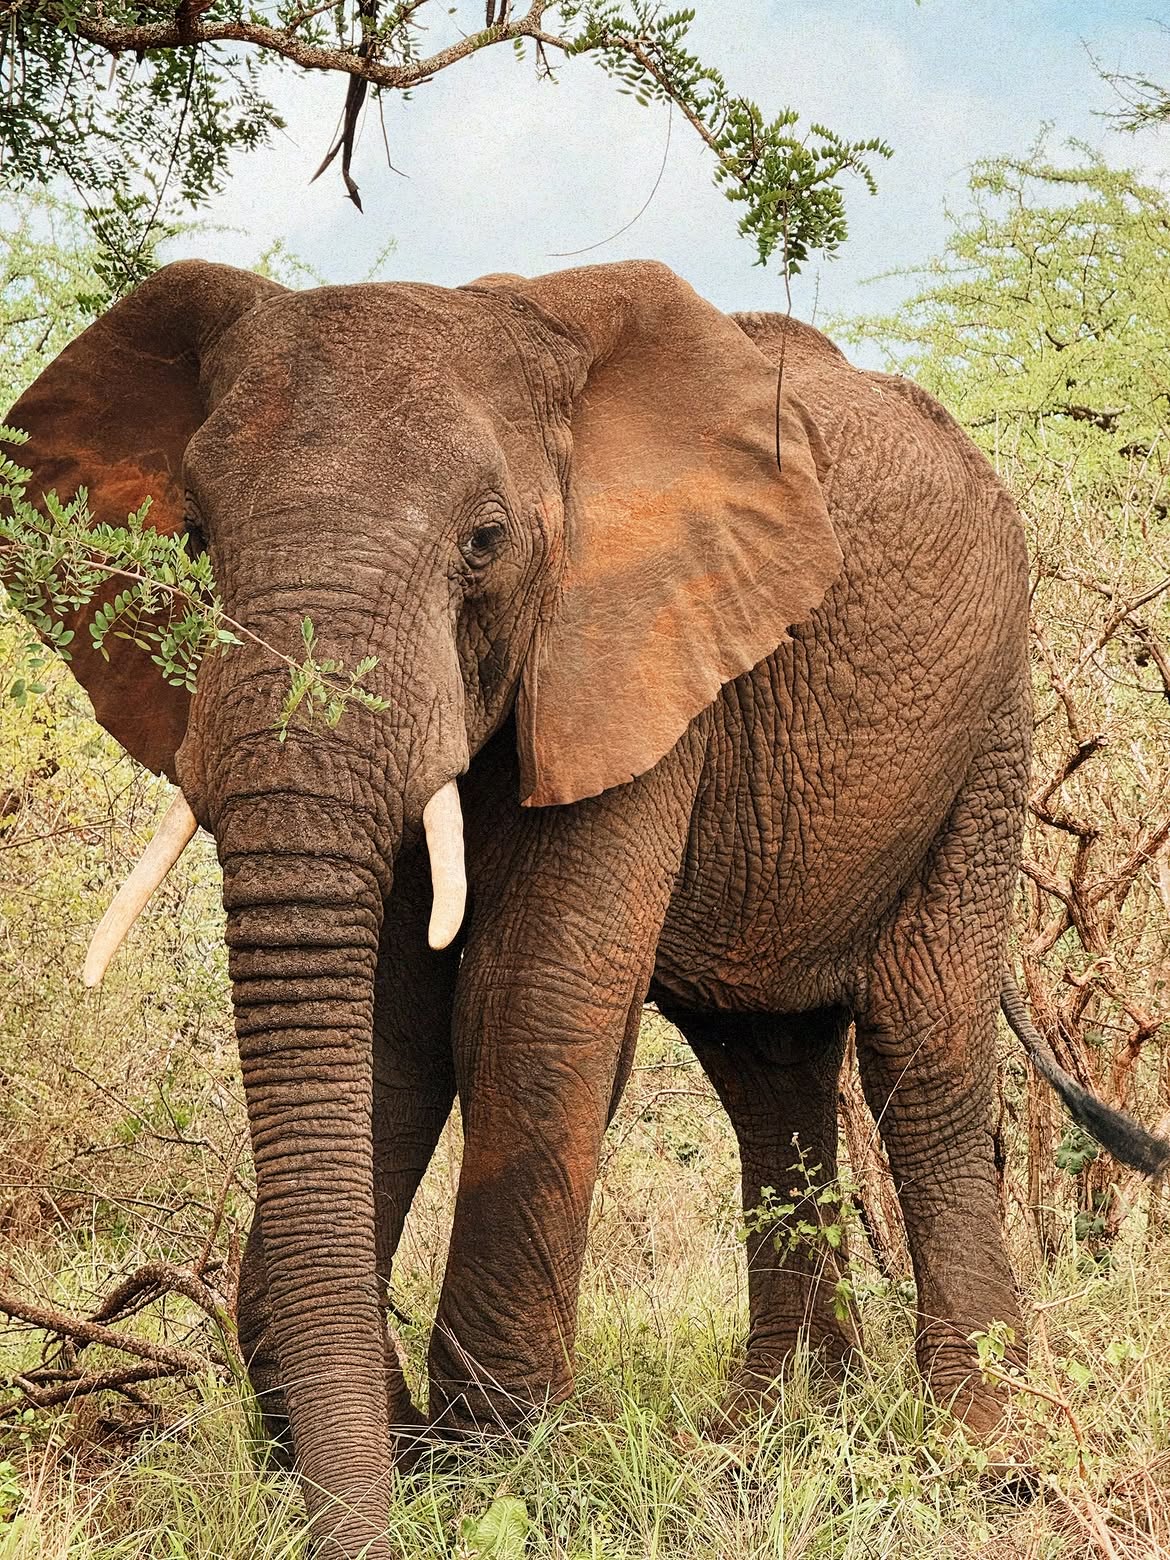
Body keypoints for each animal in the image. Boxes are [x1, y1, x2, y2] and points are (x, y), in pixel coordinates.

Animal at [6, 258, 1167, 1559]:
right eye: (197, 536)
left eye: (486, 543)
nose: (357, 1509)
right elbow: (391, 1035)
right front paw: (420, 1457)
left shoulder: (639, 641)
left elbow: (529, 1003)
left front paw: (493, 1469)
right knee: (764, 1064)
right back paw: (773, 1432)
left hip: (988, 721)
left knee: (924, 1044)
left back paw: (985, 1450)